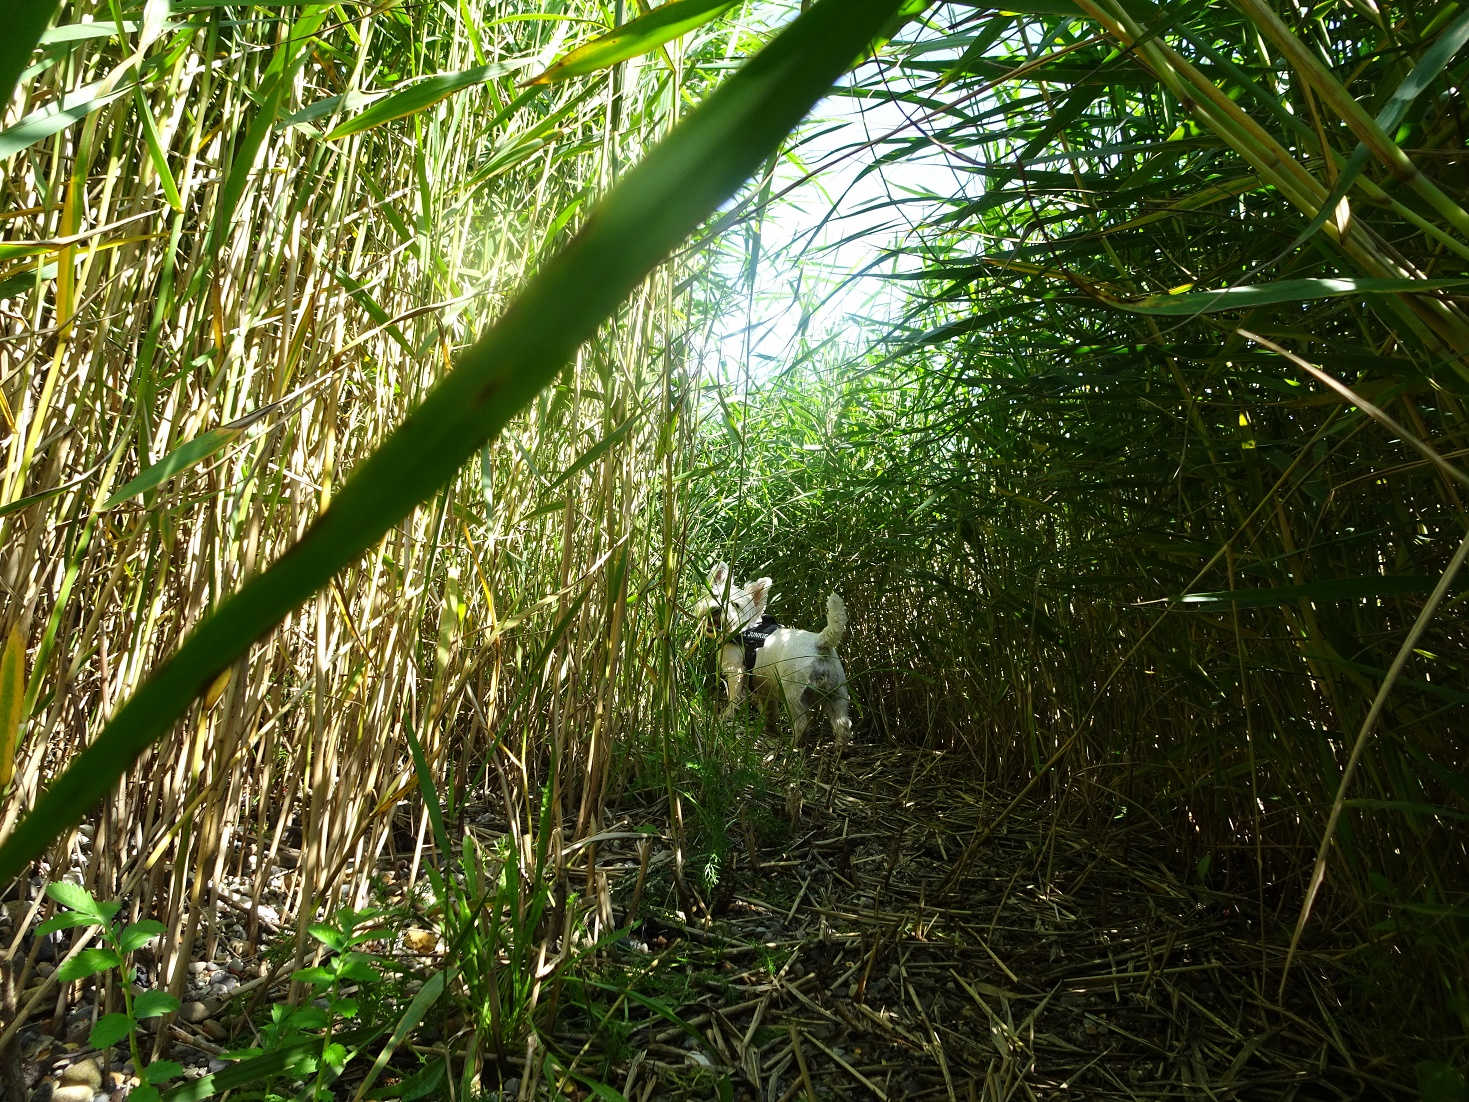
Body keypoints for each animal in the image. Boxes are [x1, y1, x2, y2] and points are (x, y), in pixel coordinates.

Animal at [696, 561, 857, 752]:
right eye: (714, 595)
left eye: (735, 605)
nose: (715, 610)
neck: (744, 630)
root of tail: (820, 641)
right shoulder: (764, 690)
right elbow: (770, 713)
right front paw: (770, 731)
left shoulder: (736, 674)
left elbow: (734, 700)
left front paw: (724, 718)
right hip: (837, 693)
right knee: (843, 723)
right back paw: (840, 748)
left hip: (793, 692)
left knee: (802, 722)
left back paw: (792, 745)